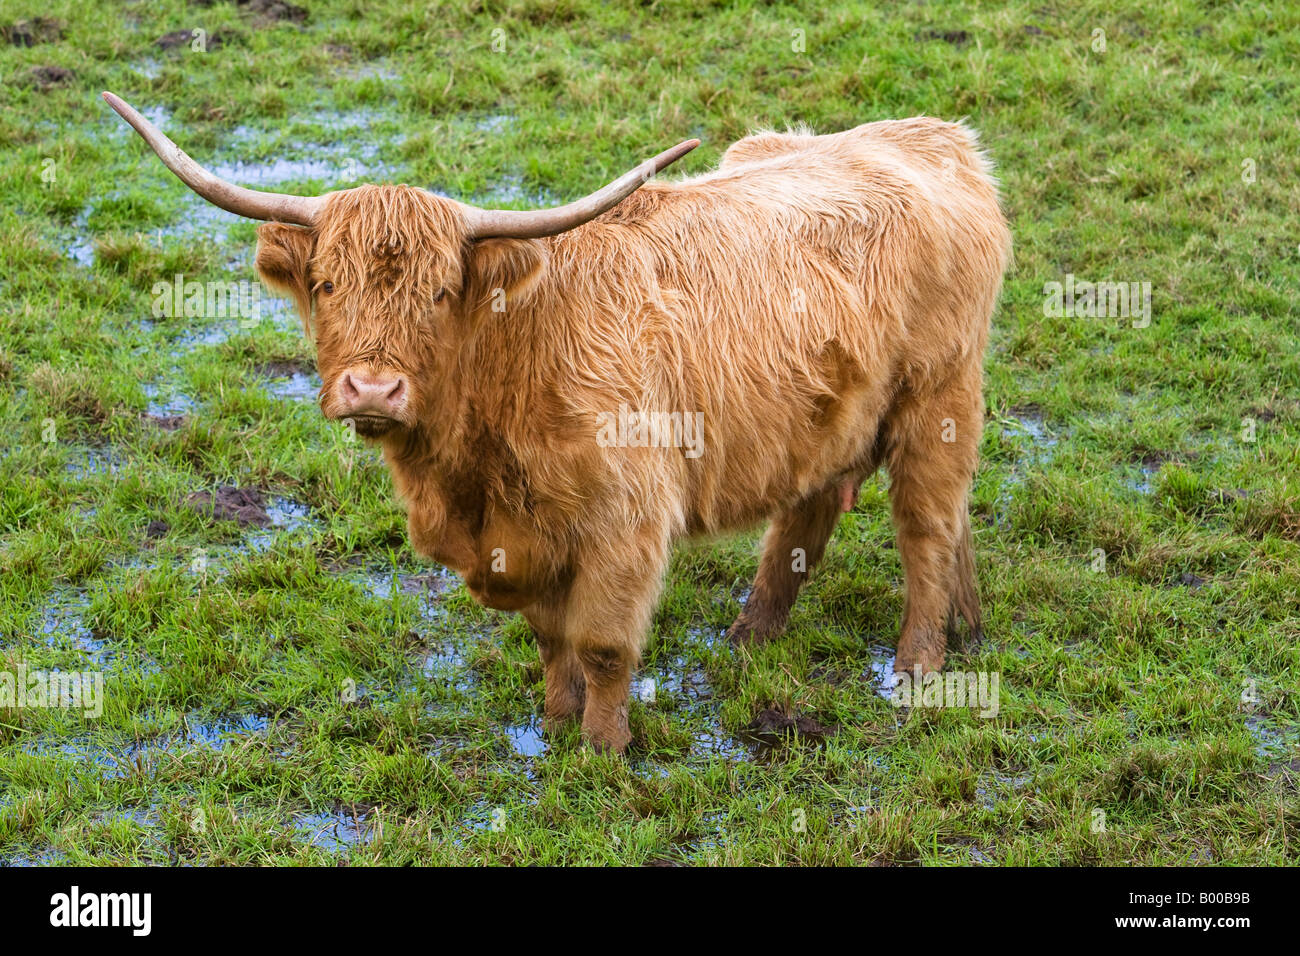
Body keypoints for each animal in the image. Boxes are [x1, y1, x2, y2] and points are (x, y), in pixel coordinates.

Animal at [104, 91, 1011, 754]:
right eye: (327, 285)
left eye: (441, 292)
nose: (373, 388)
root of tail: (934, 138)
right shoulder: (523, 539)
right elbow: (550, 638)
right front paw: (552, 722)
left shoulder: (626, 523)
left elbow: (604, 644)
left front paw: (603, 750)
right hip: (832, 411)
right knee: (818, 513)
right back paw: (768, 635)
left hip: (937, 399)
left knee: (927, 524)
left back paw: (919, 664)